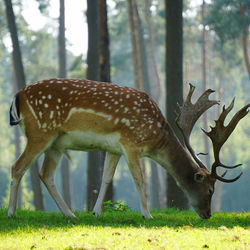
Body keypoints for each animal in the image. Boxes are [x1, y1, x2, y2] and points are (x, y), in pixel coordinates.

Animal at [8, 78, 249, 219]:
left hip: (57, 143)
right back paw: (11, 213)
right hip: (41, 132)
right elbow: (140, 179)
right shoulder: (131, 143)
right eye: (210, 190)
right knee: (17, 167)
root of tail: (17, 96)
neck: (155, 135)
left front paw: (96, 212)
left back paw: (70, 215)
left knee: (45, 174)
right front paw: (147, 215)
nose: (208, 215)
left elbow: (106, 178)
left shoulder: (114, 148)